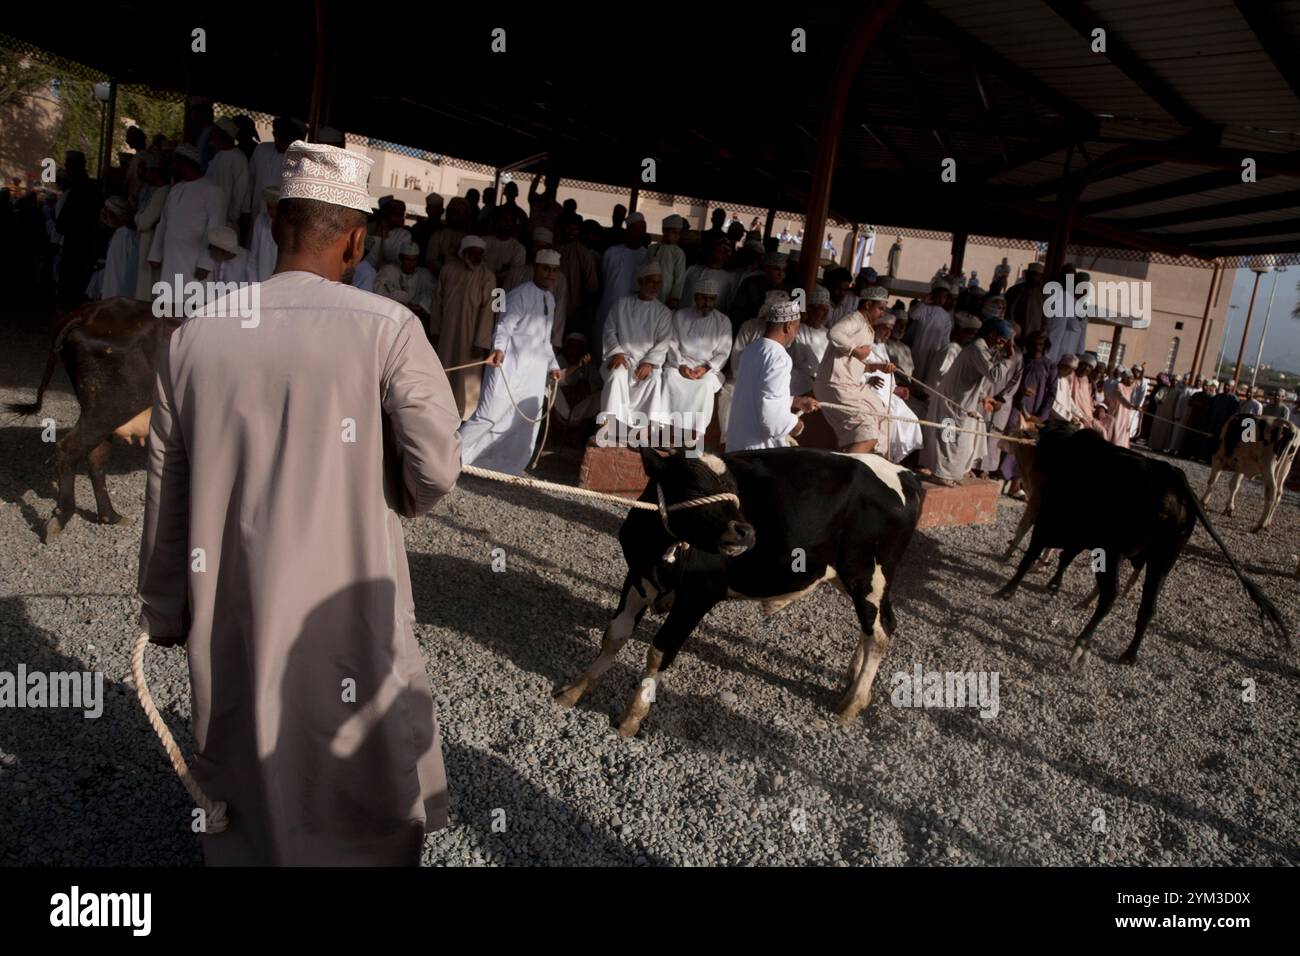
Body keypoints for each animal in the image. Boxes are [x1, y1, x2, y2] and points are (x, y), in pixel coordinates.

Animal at [6, 295, 178, 541]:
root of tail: (91, 311)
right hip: (108, 410)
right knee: (68, 450)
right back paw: (62, 516)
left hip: (102, 415)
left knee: (96, 459)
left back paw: (110, 516)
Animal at [553, 444, 920, 738]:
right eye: (693, 486)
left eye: (733, 489)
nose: (745, 531)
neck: (659, 549)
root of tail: (903, 473)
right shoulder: (637, 576)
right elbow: (614, 635)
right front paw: (575, 690)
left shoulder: (697, 597)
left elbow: (660, 651)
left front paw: (631, 718)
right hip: (853, 578)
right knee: (876, 625)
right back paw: (854, 679)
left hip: (868, 575)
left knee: (880, 633)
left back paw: (853, 702)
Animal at [993, 421, 1289, 671]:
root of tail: (1175, 479)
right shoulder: (1079, 535)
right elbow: (1064, 556)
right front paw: (1053, 583)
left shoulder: (1049, 520)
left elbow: (1032, 554)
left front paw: (1007, 589)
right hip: (1162, 561)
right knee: (1148, 607)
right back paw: (1129, 653)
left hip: (1113, 553)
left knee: (1110, 595)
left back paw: (1081, 644)